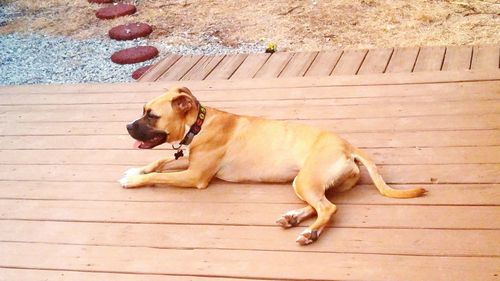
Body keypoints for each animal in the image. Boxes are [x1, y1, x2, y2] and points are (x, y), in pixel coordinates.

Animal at [120, 86, 426, 244]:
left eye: (152, 116)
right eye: (143, 111)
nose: (127, 126)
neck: (199, 123)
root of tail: (348, 147)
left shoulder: (194, 176)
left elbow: (159, 176)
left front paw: (134, 179)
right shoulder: (188, 161)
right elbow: (160, 160)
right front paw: (136, 170)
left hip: (306, 180)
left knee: (328, 208)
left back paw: (310, 232)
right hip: (307, 182)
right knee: (320, 204)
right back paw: (293, 218)